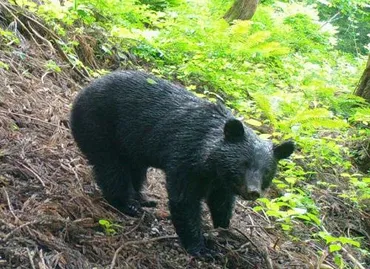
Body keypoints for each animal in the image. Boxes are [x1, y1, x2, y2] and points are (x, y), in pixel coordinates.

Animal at [70, 70, 294, 254]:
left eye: (267, 171)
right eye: (244, 164)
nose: (253, 191)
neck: (208, 160)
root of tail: (83, 90)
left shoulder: (220, 179)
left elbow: (221, 200)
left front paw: (224, 227)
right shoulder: (184, 157)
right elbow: (184, 200)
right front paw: (201, 247)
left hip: (131, 145)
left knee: (135, 170)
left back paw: (143, 199)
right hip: (100, 127)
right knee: (111, 168)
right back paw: (128, 204)